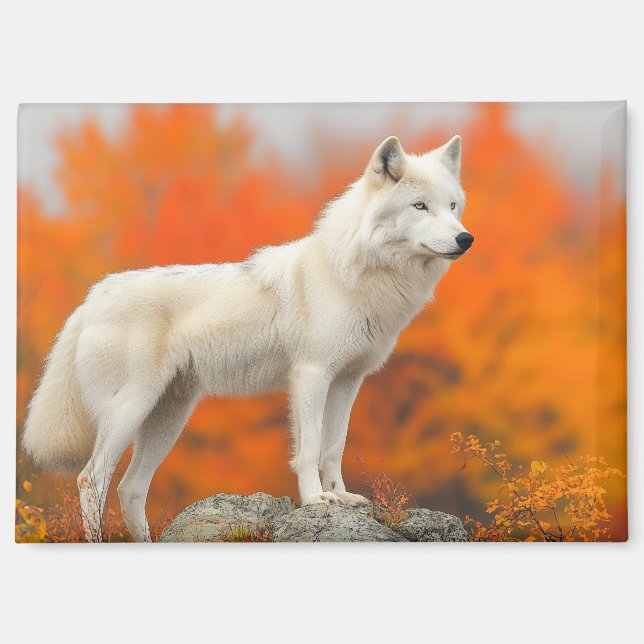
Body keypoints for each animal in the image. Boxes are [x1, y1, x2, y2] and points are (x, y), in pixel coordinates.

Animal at [22, 135, 473, 541]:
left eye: (452, 206)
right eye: (420, 206)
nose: (465, 238)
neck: (354, 274)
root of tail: (91, 299)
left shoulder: (347, 381)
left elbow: (334, 447)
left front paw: (340, 497)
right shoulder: (312, 376)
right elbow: (310, 449)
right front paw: (316, 500)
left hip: (168, 418)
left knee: (130, 488)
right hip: (129, 411)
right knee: (91, 479)